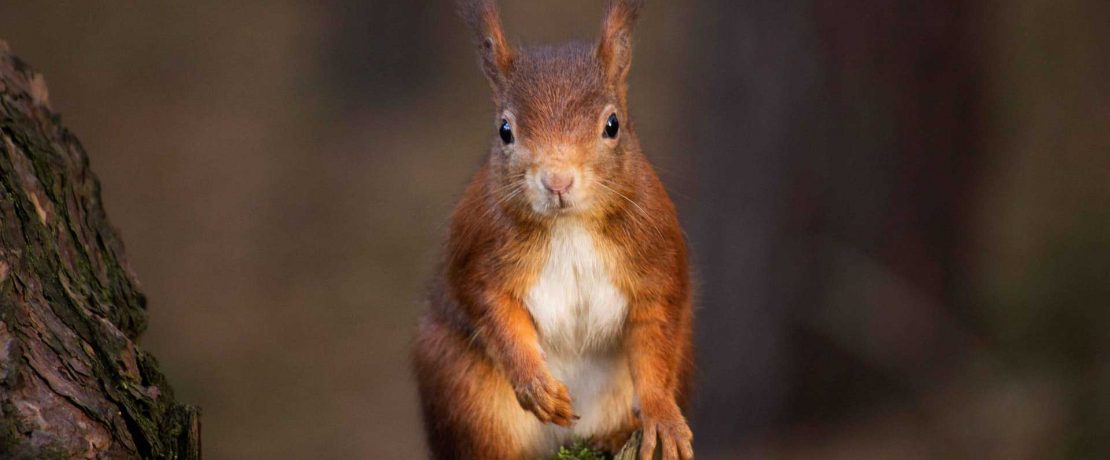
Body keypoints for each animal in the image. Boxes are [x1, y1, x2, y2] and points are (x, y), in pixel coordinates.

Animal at [417, 1, 692, 457]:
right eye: (504, 130)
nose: (558, 181)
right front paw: (536, 386)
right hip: (463, 388)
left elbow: (655, 337)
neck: (569, 227)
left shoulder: (656, 256)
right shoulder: (478, 251)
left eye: (613, 124)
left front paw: (663, 418)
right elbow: (493, 310)